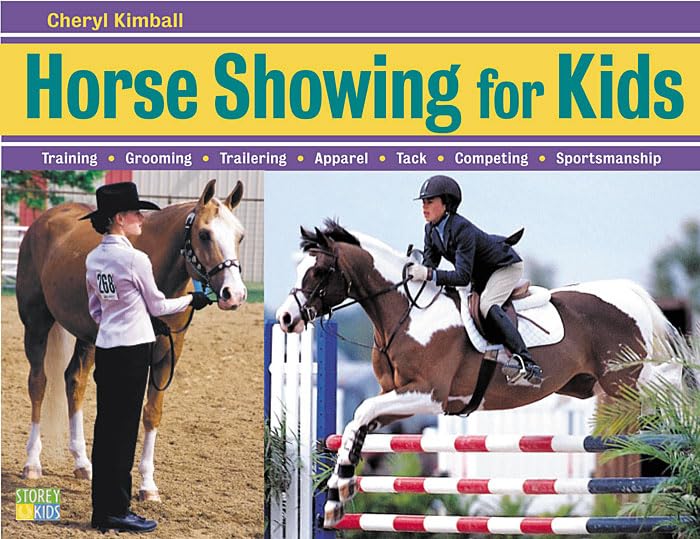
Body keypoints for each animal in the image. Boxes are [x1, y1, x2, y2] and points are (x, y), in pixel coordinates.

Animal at [16, 179, 247, 502]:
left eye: (240, 236)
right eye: (204, 234)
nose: (233, 294)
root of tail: (44, 221)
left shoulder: (167, 354)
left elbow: (151, 413)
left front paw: (148, 486)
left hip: (86, 338)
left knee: (74, 382)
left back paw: (82, 464)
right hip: (36, 324)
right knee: (38, 384)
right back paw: (32, 463)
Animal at [274, 219, 682, 527]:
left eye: (320, 271)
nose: (286, 318)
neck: (409, 314)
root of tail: (626, 293)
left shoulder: (429, 395)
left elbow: (360, 412)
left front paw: (337, 491)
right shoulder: (397, 396)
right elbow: (356, 424)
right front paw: (336, 497)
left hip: (624, 380)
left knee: (669, 382)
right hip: (589, 385)